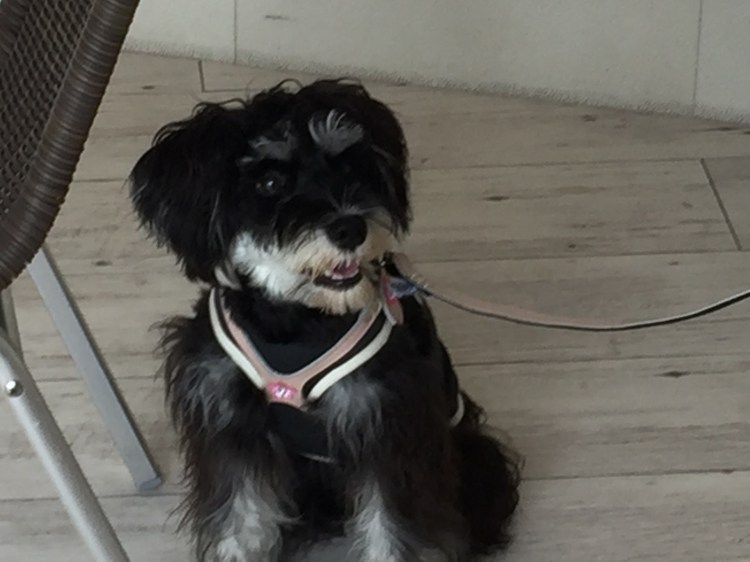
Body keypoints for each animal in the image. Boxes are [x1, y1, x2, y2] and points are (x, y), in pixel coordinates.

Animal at [130, 79, 520, 562]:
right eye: (270, 181)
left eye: (348, 166)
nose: (350, 228)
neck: (297, 320)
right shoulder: (229, 423)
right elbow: (240, 517)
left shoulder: (388, 432)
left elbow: (394, 532)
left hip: (469, 455)